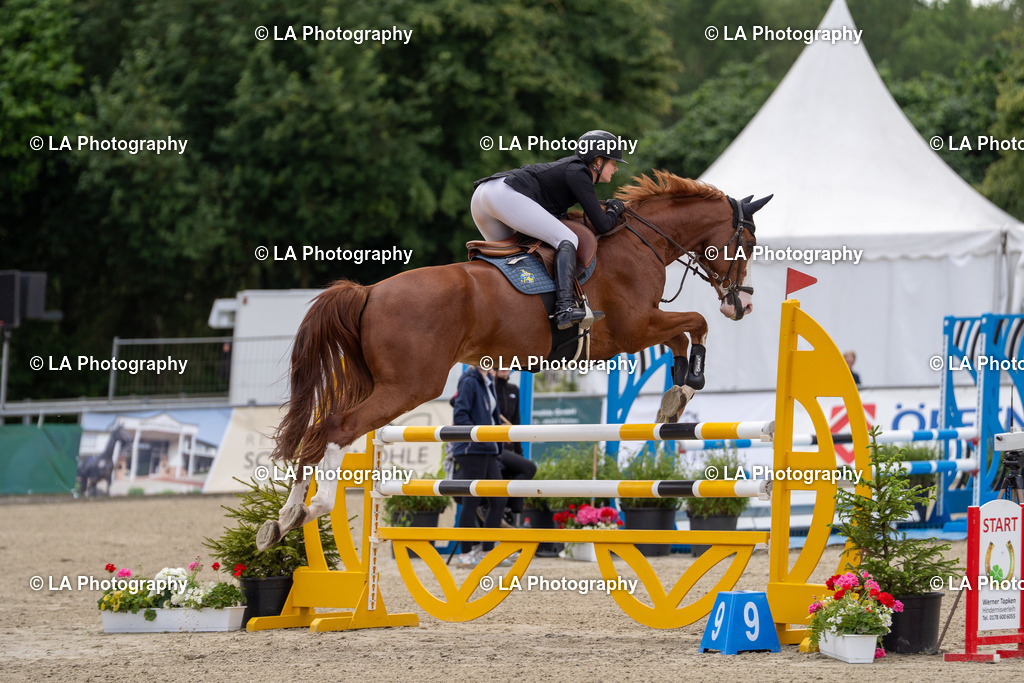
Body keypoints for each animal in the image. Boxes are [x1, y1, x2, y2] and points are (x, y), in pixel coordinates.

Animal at [256, 170, 770, 549]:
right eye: (746, 245)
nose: (742, 305)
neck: (640, 241)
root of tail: (367, 292)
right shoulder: (633, 329)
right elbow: (695, 324)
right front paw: (685, 387)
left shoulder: (641, 328)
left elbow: (685, 334)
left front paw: (673, 399)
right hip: (409, 386)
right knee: (337, 428)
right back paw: (313, 508)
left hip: (380, 384)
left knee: (315, 434)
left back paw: (283, 520)